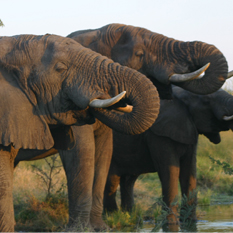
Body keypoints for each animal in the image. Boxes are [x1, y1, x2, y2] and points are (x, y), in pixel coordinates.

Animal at [0, 33, 160, 231]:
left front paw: (100, 229)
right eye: (60, 68)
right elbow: (81, 153)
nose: (107, 92)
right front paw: (81, 230)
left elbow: (103, 154)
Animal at [104, 86, 233, 229]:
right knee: (111, 181)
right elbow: (170, 172)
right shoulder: (158, 135)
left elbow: (189, 171)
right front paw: (171, 224)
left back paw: (130, 217)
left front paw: (191, 223)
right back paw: (112, 217)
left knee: (128, 180)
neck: (179, 94)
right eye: (206, 100)